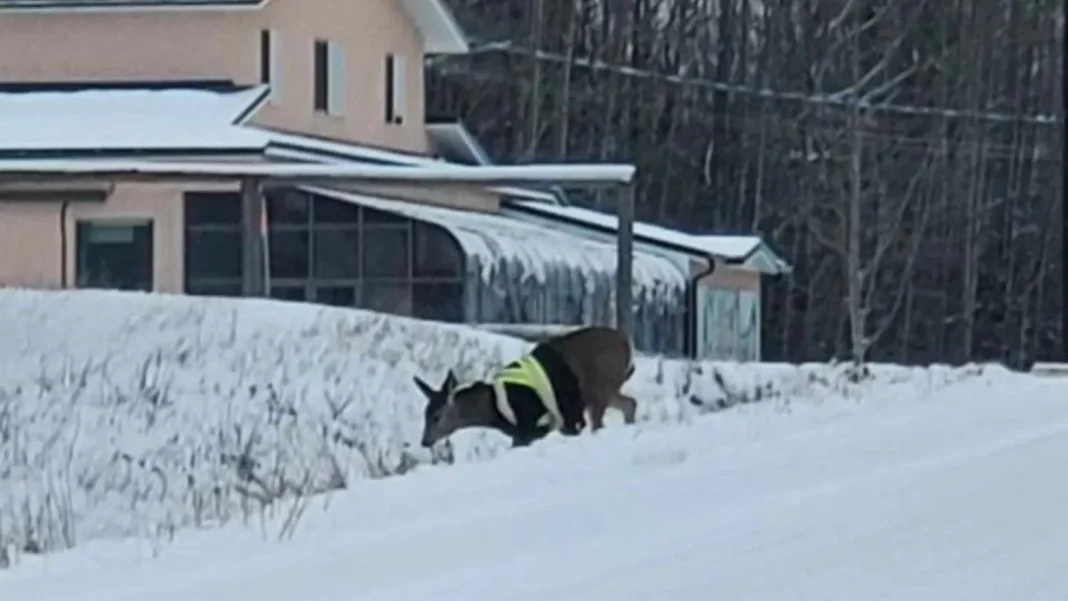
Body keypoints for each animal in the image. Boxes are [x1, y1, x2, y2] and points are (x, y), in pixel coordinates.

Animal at [414, 326, 636, 448]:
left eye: (437, 416)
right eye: (424, 413)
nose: (425, 441)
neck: (493, 407)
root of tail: (626, 343)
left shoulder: (530, 423)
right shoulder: (535, 430)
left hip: (600, 385)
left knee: (600, 423)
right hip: (601, 391)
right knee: (630, 403)